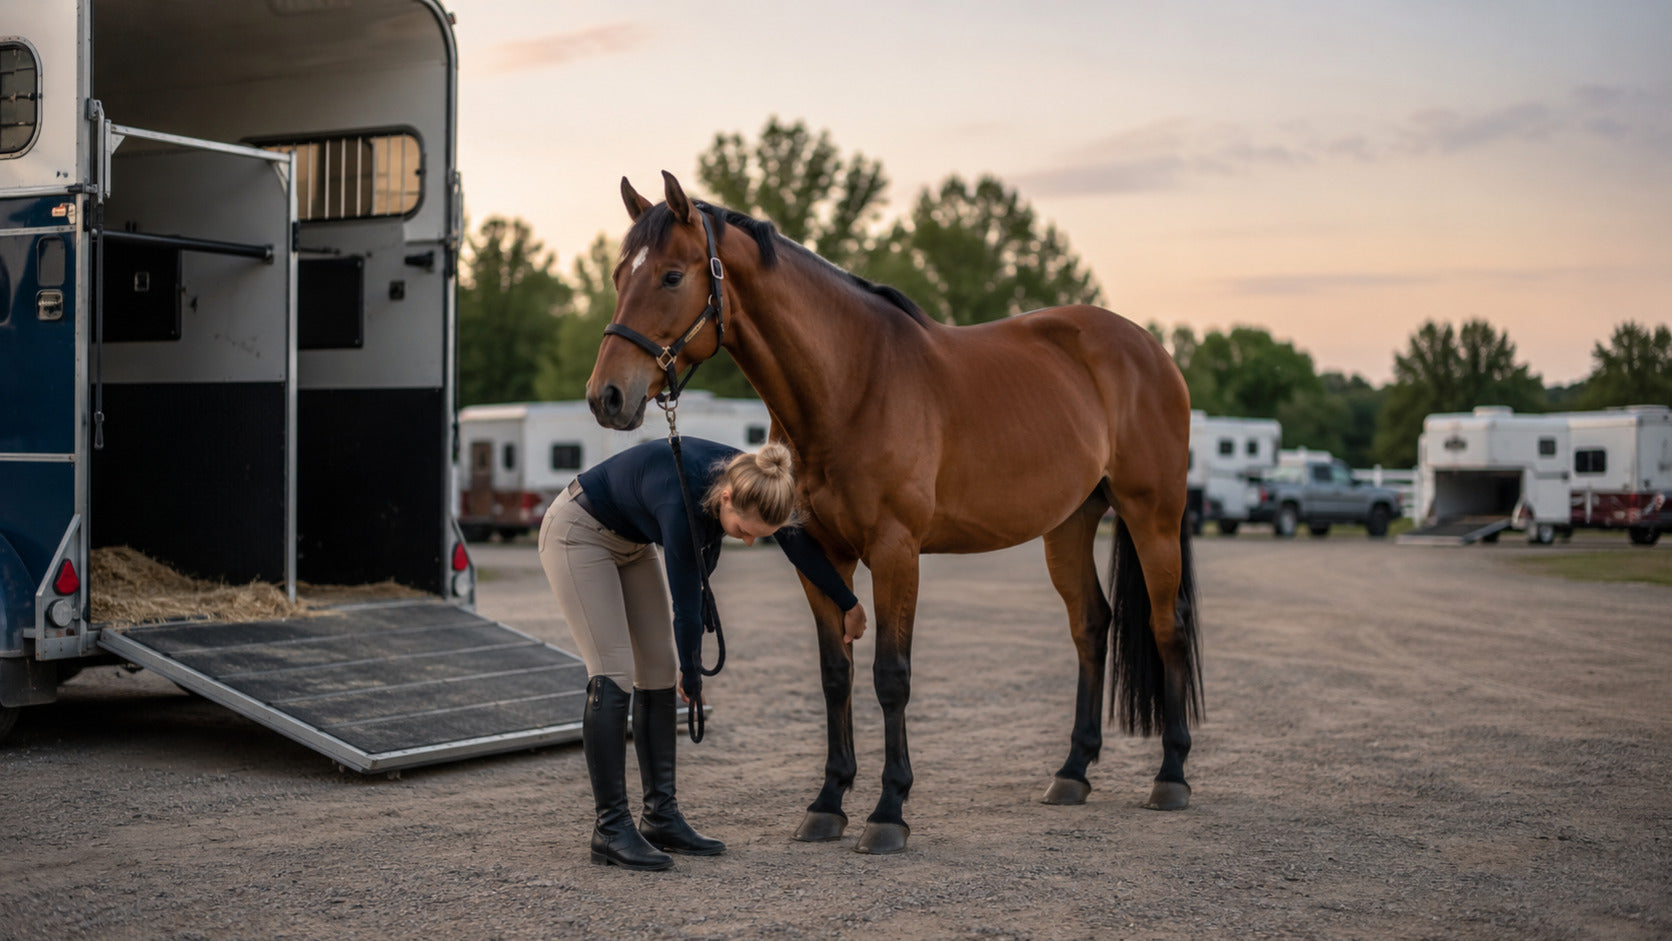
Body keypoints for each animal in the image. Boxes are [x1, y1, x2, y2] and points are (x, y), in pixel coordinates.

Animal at [586, 171, 1202, 855]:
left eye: (671, 275)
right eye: (619, 275)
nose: (607, 396)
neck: (853, 383)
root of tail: (1152, 350)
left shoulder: (895, 551)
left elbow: (890, 675)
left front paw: (888, 811)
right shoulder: (819, 554)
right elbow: (837, 674)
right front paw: (828, 803)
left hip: (1151, 515)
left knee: (1167, 625)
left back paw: (1171, 776)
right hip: (1068, 524)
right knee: (1092, 625)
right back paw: (1072, 772)